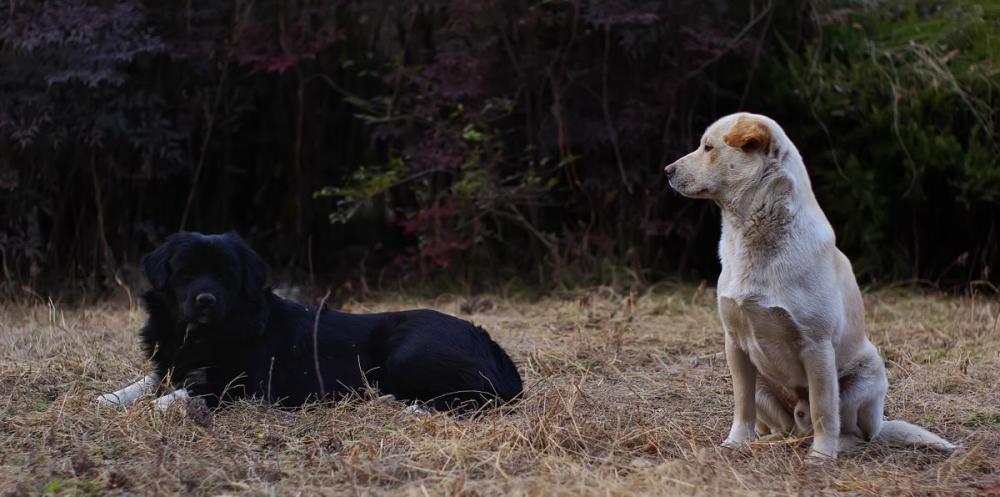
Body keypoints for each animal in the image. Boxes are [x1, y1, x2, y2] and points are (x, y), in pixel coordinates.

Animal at [95, 232, 524, 410]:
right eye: (186, 273)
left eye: (226, 276)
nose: (206, 300)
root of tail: (493, 347)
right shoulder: (170, 363)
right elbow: (149, 379)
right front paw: (110, 397)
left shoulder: (247, 384)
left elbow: (190, 390)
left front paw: (161, 406)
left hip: (409, 354)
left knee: (478, 396)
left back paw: (412, 407)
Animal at [668, 112, 956, 462]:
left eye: (708, 147)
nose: (667, 171)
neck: (752, 238)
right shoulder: (734, 344)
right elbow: (742, 406)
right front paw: (735, 443)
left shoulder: (816, 347)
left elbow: (823, 409)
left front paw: (821, 456)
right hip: (763, 382)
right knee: (784, 427)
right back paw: (768, 440)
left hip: (868, 373)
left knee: (853, 432)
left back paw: (836, 445)